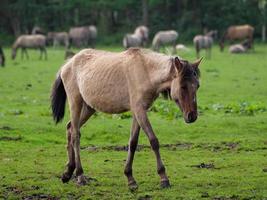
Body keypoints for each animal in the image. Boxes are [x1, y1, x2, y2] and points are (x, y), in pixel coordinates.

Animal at [50, 47, 202, 189]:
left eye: (197, 86)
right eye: (183, 86)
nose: (192, 116)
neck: (146, 71)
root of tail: (68, 64)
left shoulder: (137, 112)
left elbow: (133, 143)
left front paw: (130, 178)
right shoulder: (140, 110)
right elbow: (153, 141)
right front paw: (163, 178)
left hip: (89, 107)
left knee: (70, 128)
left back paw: (68, 172)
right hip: (75, 102)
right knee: (76, 135)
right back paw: (80, 176)